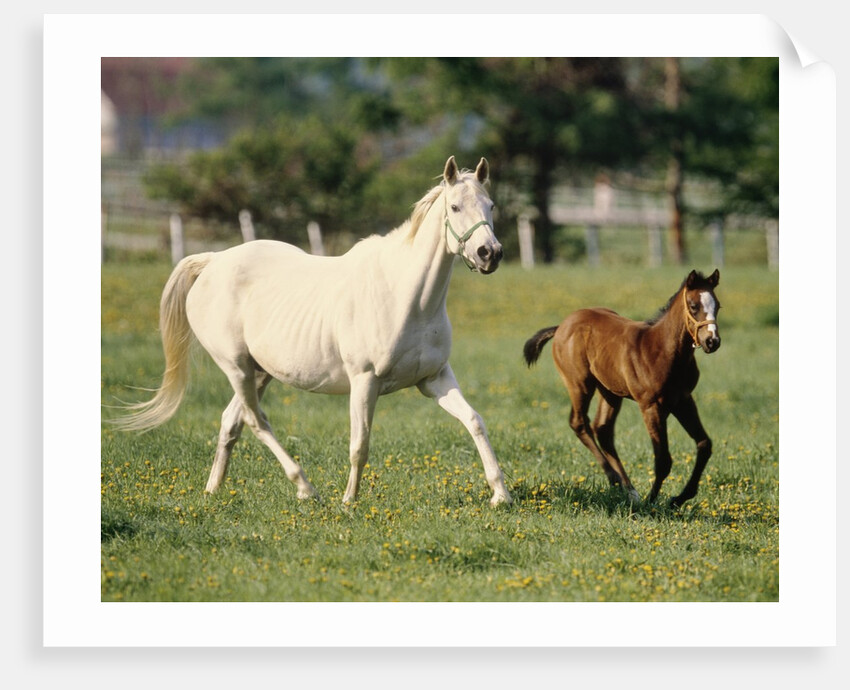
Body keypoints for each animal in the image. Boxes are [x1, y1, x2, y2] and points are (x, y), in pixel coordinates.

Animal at [114, 156, 513, 507]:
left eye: (491, 205)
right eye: (455, 207)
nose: (489, 253)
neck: (406, 297)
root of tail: (213, 261)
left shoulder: (434, 379)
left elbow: (475, 422)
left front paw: (500, 495)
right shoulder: (364, 381)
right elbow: (359, 444)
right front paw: (349, 501)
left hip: (260, 372)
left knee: (232, 422)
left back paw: (213, 491)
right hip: (236, 367)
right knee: (256, 421)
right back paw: (306, 488)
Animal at [523, 269, 721, 507]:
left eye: (718, 306)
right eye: (693, 306)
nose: (712, 341)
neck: (663, 350)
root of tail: (561, 326)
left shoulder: (683, 400)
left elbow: (704, 444)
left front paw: (678, 499)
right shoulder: (651, 406)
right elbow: (663, 459)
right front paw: (651, 502)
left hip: (609, 391)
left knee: (603, 430)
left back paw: (628, 489)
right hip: (580, 384)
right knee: (579, 423)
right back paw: (616, 480)